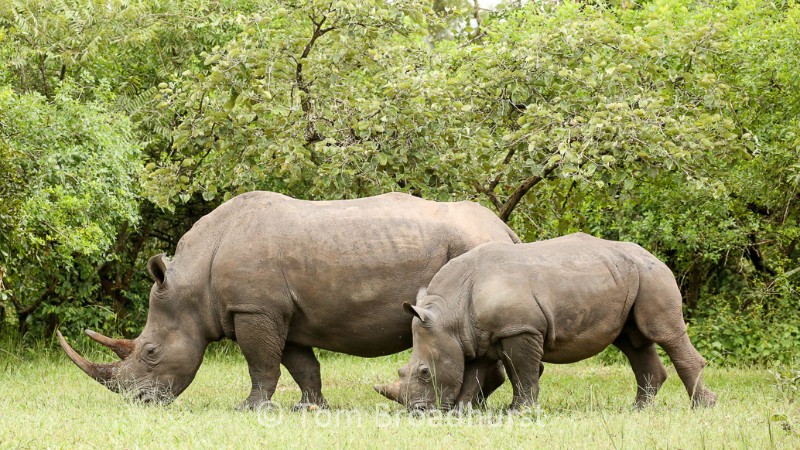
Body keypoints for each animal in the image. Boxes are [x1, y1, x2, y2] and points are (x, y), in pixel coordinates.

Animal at [57, 192, 520, 410]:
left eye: (151, 352)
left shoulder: (254, 308)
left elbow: (260, 363)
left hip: (471, 246)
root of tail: (505, 231)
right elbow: (301, 365)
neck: (192, 282)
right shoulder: (283, 313)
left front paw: (250, 408)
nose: (139, 403)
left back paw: (467, 406)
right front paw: (309, 407)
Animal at [376, 234, 720, 414]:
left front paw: (519, 412)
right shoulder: (476, 337)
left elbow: (523, 372)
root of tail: (656, 257)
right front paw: (464, 411)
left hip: (653, 275)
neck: (450, 313)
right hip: (629, 276)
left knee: (664, 334)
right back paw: (636, 410)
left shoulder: (520, 329)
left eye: (424, 372)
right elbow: (472, 373)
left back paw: (703, 407)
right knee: (633, 342)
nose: (418, 412)